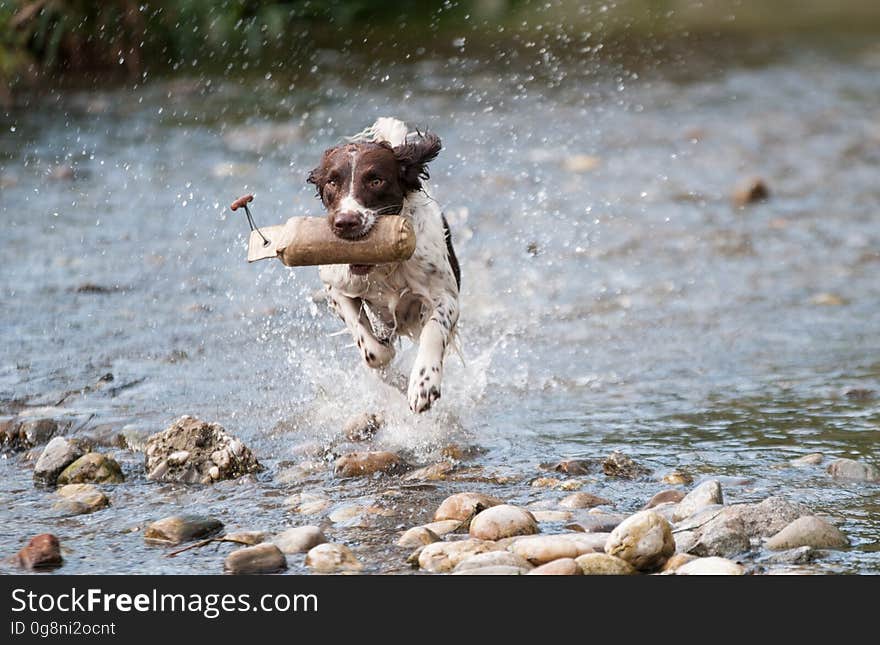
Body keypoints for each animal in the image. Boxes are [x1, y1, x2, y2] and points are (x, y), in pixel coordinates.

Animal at [308, 117, 460, 412]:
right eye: (332, 182)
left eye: (376, 180)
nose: (346, 222)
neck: (384, 267)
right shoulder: (335, 287)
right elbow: (372, 350)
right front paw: (394, 373)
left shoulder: (446, 296)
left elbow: (435, 329)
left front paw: (423, 384)